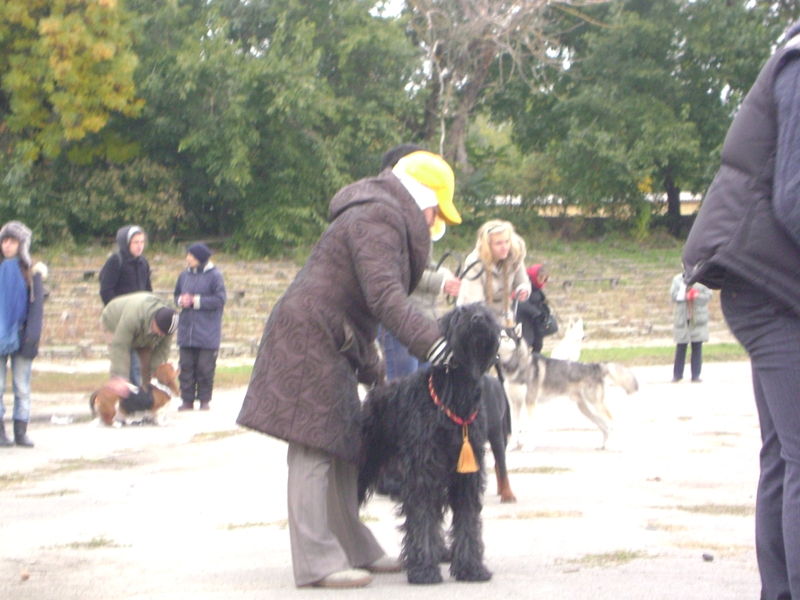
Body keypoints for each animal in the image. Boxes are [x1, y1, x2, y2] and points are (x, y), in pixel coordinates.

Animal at [358, 303, 500, 584]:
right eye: (458, 314)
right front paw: (423, 568)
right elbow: (422, 518)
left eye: (485, 310)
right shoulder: (423, 472)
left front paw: (470, 566)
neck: (456, 397)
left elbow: (467, 520)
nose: (479, 319)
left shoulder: (468, 474)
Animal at [499, 326, 638, 449]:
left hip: (597, 407)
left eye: (504, 337)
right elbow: (515, 428)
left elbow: (531, 428)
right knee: (606, 428)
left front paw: (529, 446)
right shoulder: (514, 404)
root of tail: (595, 366)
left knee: (613, 423)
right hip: (587, 410)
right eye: (497, 335)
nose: (494, 341)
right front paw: (511, 446)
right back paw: (602, 446)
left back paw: (618, 446)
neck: (517, 367)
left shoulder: (530, 403)